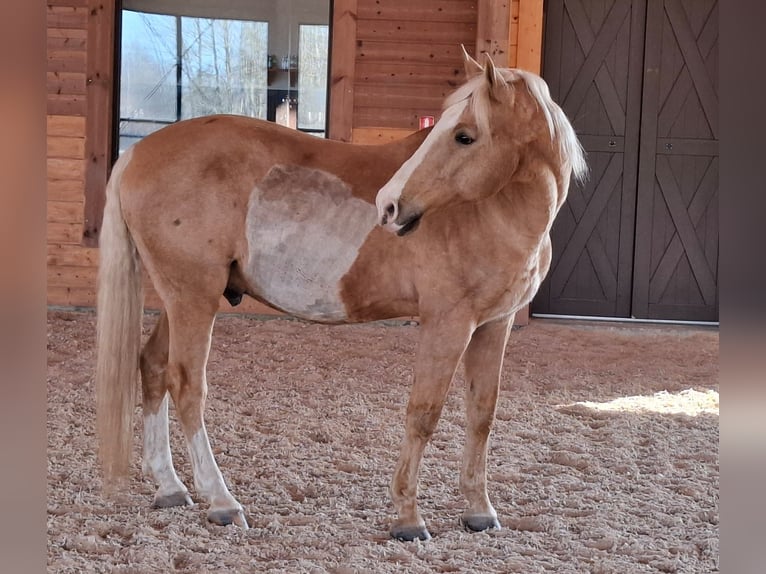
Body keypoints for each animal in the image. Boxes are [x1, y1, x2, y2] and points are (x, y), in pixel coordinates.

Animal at [95, 49, 587, 542]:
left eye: (465, 135)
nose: (389, 205)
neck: (493, 210)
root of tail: (137, 153)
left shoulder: (493, 325)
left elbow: (482, 414)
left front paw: (479, 511)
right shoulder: (447, 324)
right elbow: (423, 414)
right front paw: (408, 517)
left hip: (182, 299)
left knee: (153, 367)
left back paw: (170, 487)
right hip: (192, 297)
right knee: (187, 385)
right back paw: (221, 501)